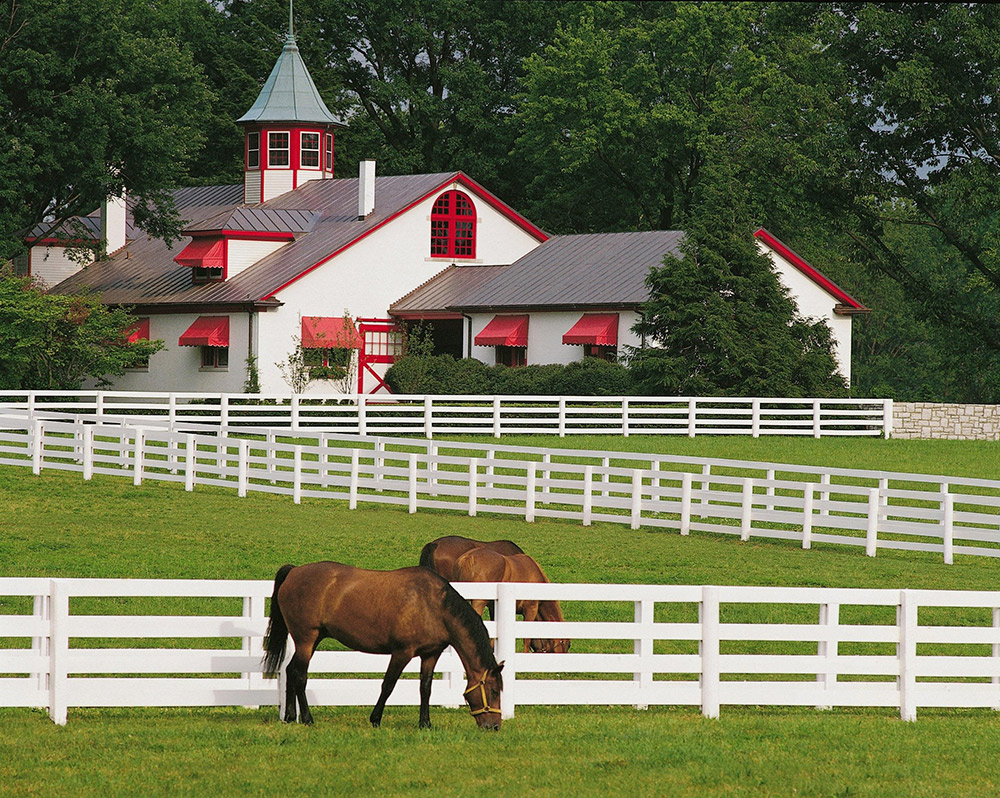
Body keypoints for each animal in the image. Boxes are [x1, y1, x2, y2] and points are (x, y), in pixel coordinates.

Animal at [262, 561, 504, 730]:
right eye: (493, 690)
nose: (494, 726)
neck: (433, 605)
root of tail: (294, 572)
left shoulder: (430, 654)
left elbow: (425, 688)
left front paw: (425, 723)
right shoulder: (401, 653)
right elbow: (388, 685)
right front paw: (375, 719)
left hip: (312, 640)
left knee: (290, 670)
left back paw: (290, 717)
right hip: (306, 639)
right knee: (300, 675)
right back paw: (307, 719)